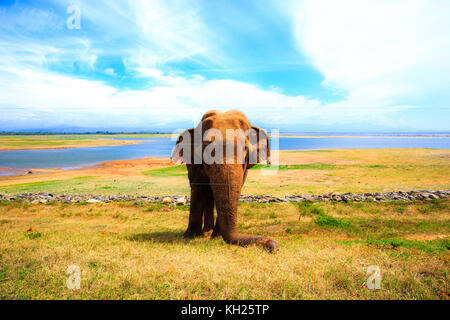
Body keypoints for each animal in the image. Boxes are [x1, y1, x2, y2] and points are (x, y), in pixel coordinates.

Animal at [171, 110, 278, 252]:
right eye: (205, 150)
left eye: (244, 149)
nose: (274, 247)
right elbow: (197, 187)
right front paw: (189, 237)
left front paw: (216, 237)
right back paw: (205, 233)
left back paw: (209, 233)